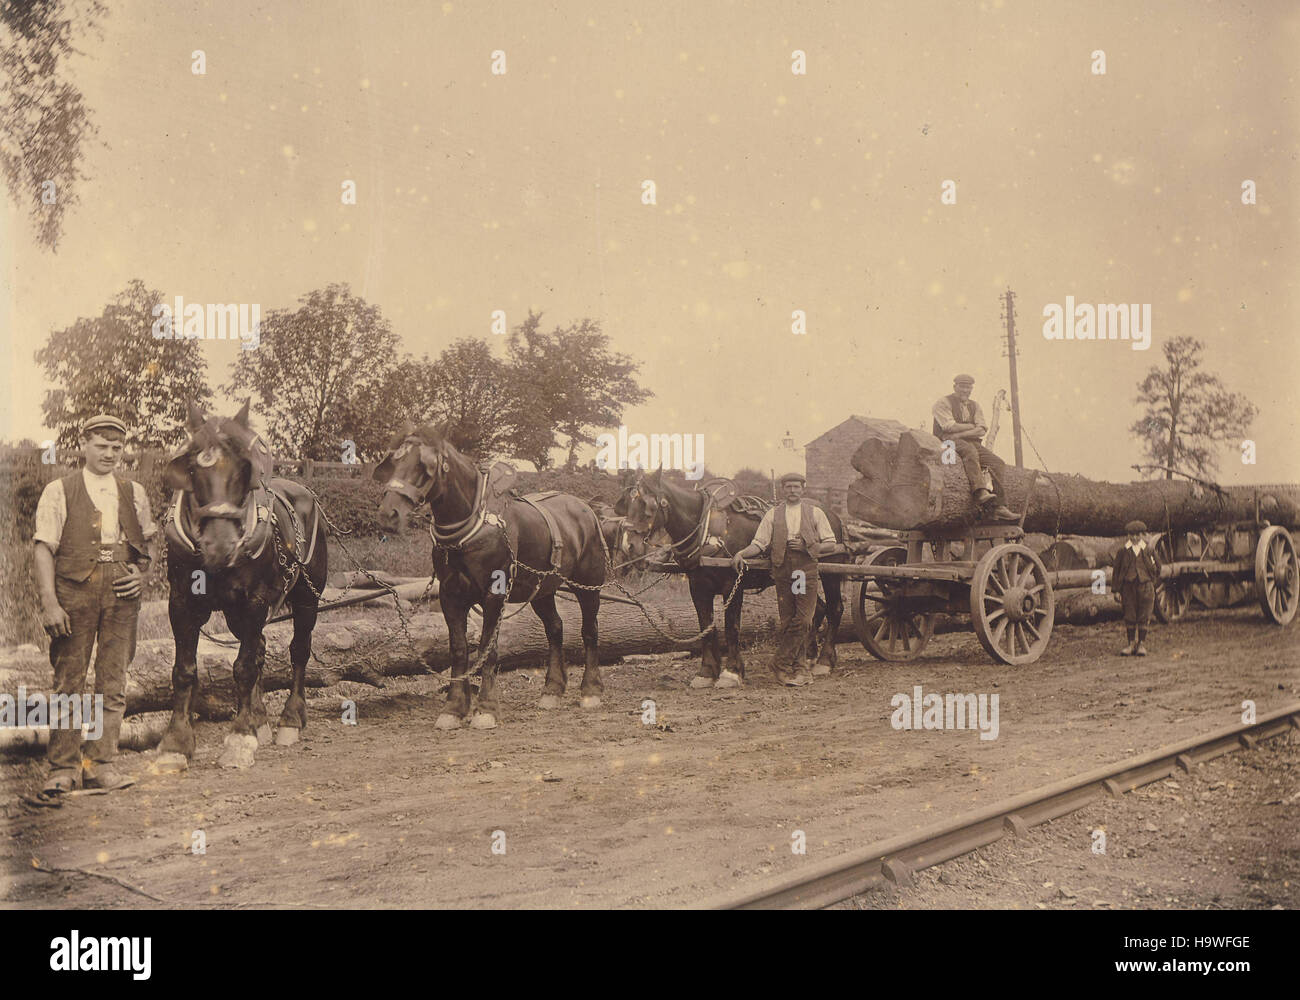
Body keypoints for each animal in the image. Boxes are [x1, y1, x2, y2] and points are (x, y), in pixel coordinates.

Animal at [155, 400, 327, 769]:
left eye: (244, 470)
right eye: (193, 470)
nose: (220, 546)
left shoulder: (255, 601)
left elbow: (244, 668)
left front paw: (239, 739)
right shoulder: (181, 602)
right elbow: (184, 670)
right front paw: (176, 743)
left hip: (307, 597)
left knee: (299, 650)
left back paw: (291, 718)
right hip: (235, 614)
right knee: (260, 647)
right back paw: (260, 719)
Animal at [371, 421, 603, 728]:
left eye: (424, 466)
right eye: (394, 462)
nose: (389, 514)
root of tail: (585, 507)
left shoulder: (494, 595)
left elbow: (487, 649)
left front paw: (486, 709)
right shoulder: (450, 596)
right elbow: (459, 649)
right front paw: (454, 708)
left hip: (589, 585)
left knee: (590, 630)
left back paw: (591, 690)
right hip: (542, 590)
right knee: (555, 628)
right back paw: (552, 691)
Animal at [621, 468, 847, 686]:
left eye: (648, 506)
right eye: (627, 504)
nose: (629, 546)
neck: (708, 530)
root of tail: (832, 514)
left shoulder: (733, 585)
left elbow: (731, 628)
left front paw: (731, 672)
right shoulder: (698, 587)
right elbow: (706, 627)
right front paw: (706, 673)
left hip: (831, 574)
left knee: (835, 608)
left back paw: (824, 661)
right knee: (817, 610)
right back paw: (808, 657)